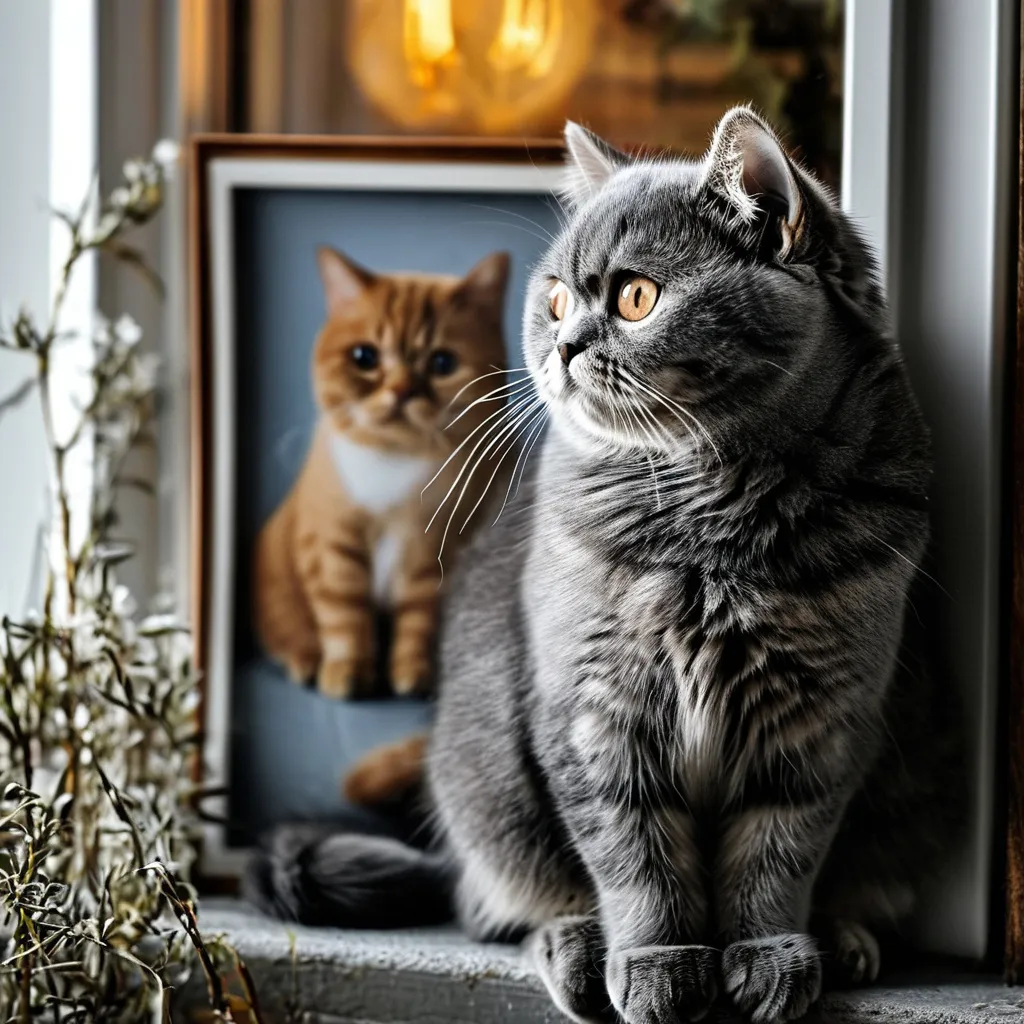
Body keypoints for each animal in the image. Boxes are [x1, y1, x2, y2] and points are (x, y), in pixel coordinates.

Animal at [253, 243, 509, 700]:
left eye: (442, 362)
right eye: (364, 357)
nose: (402, 390)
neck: (395, 467)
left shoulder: (437, 554)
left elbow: (419, 621)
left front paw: (414, 675)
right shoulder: (331, 541)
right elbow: (345, 616)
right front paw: (349, 673)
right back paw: (306, 662)